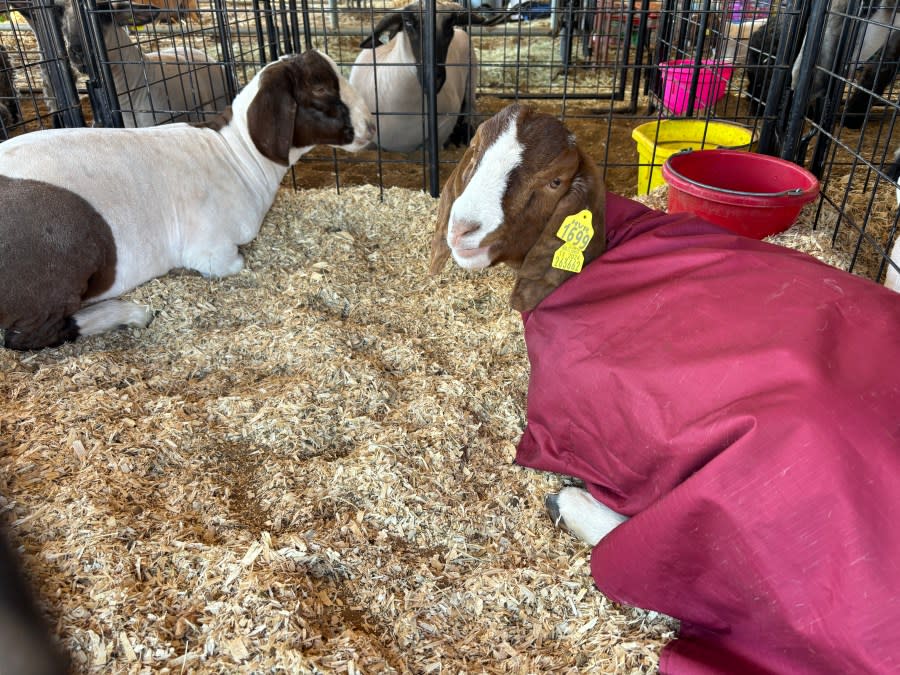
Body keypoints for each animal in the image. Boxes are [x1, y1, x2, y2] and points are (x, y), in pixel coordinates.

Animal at [0, 50, 372, 352]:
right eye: (320, 88)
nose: (369, 126)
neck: (237, 154)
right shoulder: (211, 251)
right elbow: (234, 264)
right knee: (27, 336)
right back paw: (129, 314)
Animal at [348, 0, 500, 153]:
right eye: (408, 22)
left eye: (449, 24)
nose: (435, 79)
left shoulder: (445, 124)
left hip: (472, 75)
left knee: (471, 107)